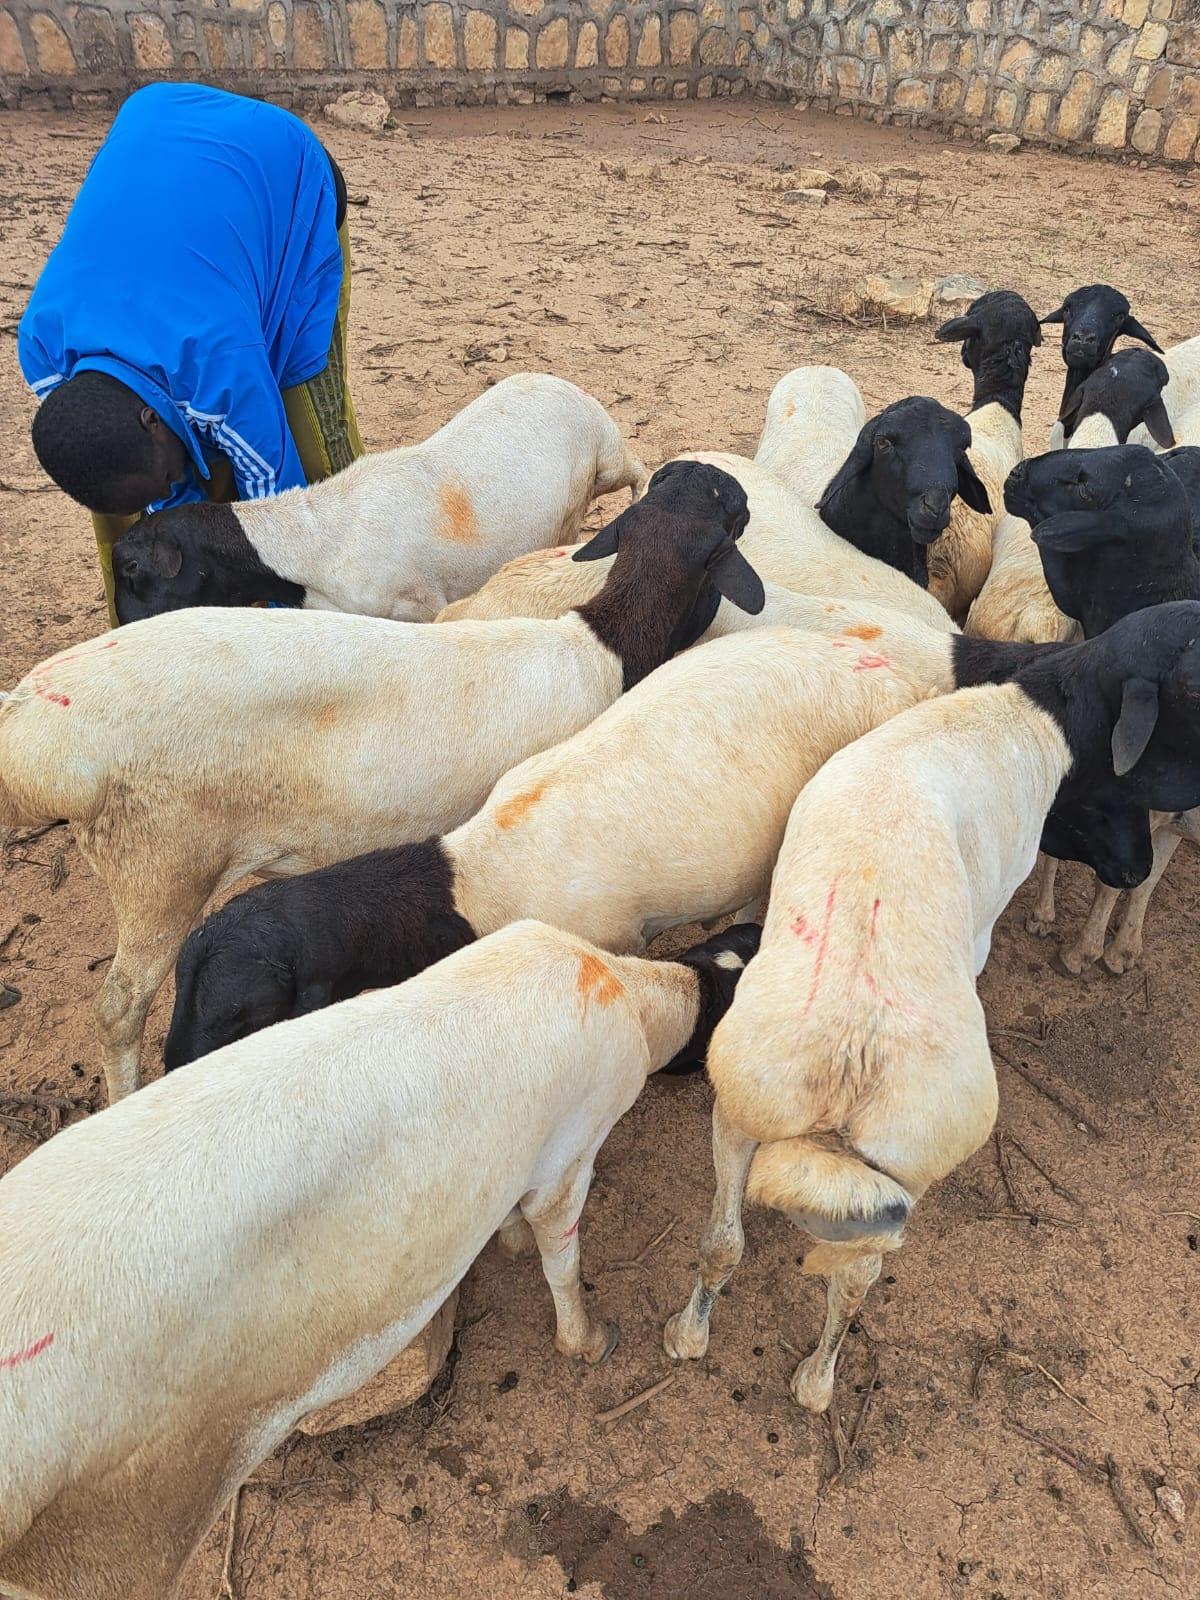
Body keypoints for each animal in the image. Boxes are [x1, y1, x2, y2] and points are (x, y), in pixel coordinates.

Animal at [0, 461, 762, 1106]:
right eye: (728, 514)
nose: (729, 480)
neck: (598, 644)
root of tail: (34, 718)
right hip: (159, 865)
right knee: (118, 1010)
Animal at [0, 918, 758, 1600]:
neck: (620, 985)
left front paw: (511, 1239)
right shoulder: (570, 1157)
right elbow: (561, 1260)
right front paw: (590, 1340)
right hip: (116, 1541)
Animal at [109, 373, 646, 624]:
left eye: (133, 569)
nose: (122, 626)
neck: (315, 546)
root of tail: (561, 383)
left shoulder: (420, 605)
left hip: (606, 456)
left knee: (637, 469)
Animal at [164, 607, 1051, 1061]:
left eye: (240, 1016)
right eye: (182, 990)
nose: (170, 1069)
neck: (473, 878)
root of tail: (897, 678)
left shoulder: (608, 936)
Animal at [663, 601, 1200, 1410]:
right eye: (1194, 697)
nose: (1136, 867)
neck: (1026, 711)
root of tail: (853, 1055)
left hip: (747, 1103)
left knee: (724, 1240)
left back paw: (690, 1334)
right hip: (909, 1162)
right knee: (856, 1279)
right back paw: (817, 1384)